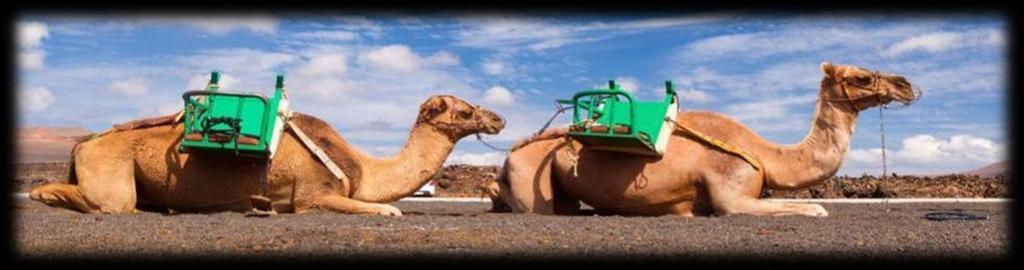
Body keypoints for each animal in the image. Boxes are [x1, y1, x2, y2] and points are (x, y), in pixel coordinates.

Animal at [33, 95, 507, 214]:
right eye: (465, 110)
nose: (499, 119)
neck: (360, 167)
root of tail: (85, 141)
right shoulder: (313, 196)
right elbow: (390, 211)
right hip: (111, 172)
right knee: (113, 204)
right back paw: (43, 195)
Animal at [485, 63, 921, 216]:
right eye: (862, 77)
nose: (907, 85)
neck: (765, 153)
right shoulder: (731, 192)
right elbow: (816, 209)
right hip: (533, 174)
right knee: (534, 206)